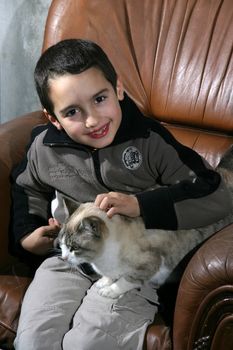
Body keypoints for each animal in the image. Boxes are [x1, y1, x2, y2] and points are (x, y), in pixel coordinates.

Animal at [57, 146, 233, 300]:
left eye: (74, 248)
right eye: (62, 244)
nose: (63, 258)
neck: (101, 259)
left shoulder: (148, 265)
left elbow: (125, 281)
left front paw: (109, 291)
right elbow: (110, 276)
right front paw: (103, 282)